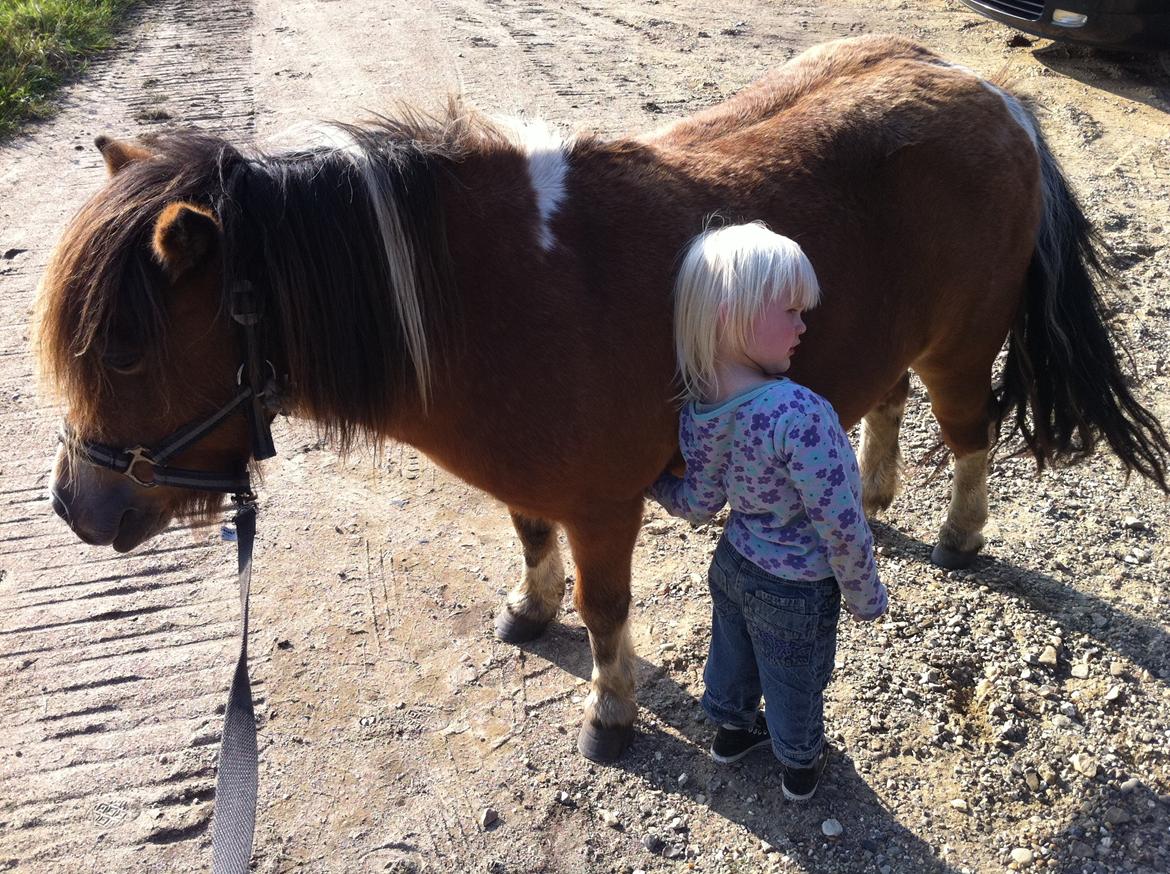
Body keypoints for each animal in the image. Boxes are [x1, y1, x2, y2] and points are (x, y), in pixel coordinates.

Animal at [36, 35, 1169, 762]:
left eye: (126, 351)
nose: (73, 509)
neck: (494, 297)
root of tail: (993, 93)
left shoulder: (605, 509)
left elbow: (606, 607)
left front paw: (611, 711)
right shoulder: (528, 484)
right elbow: (531, 545)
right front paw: (527, 610)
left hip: (962, 346)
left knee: (971, 434)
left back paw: (960, 535)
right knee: (884, 398)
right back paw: (877, 493)